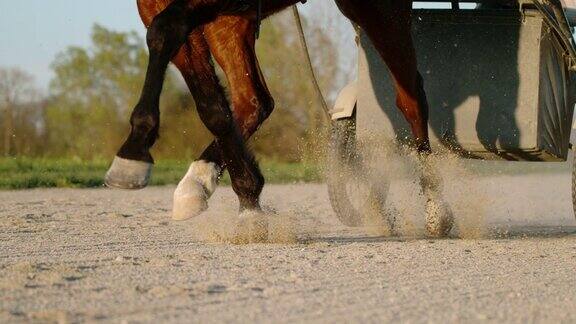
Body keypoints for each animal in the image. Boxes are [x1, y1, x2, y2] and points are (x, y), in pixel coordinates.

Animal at [103, 0, 452, 238]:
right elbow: (211, 105)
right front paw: (247, 200)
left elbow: (163, 31)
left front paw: (134, 150)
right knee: (253, 102)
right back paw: (199, 181)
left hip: (379, 9)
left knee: (411, 99)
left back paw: (436, 207)